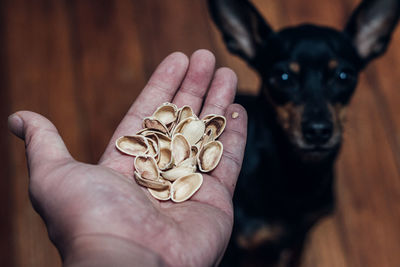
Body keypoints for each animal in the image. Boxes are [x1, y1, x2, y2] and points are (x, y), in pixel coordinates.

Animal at [208, 0, 398, 266]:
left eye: (344, 76)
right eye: (283, 77)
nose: (318, 131)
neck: (298, 175)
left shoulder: (300, 237)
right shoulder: (234, 250)